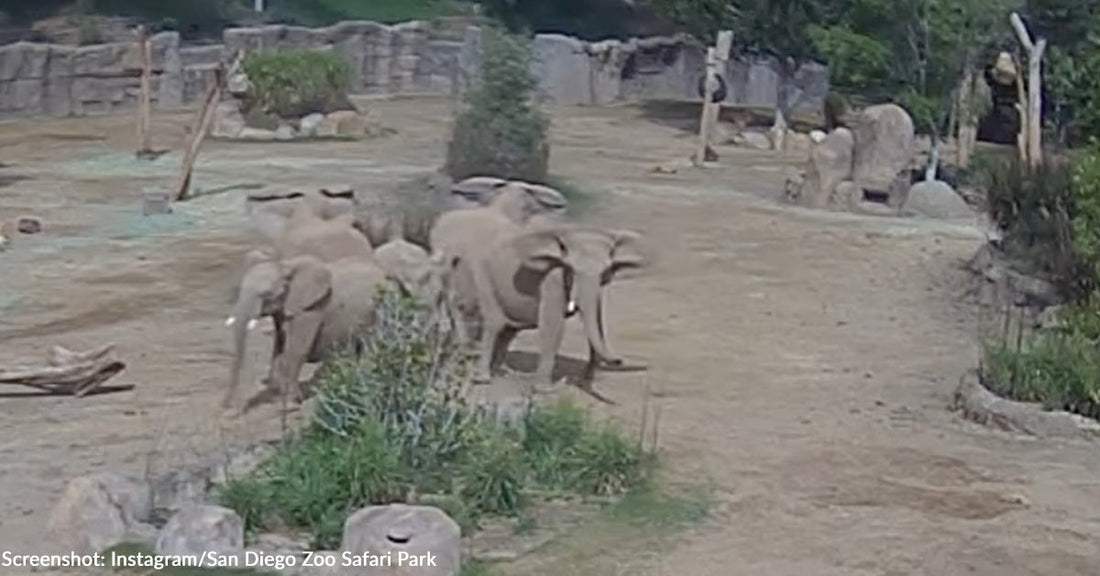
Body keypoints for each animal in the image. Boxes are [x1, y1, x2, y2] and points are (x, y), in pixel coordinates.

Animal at [223, 252, 394, 411]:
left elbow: (297, 349)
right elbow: (279, 346)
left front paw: (291, 403)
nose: (228, 406)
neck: (285, 265)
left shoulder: (311, 310)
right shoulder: (283, 312)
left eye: (266, 294)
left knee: (372, 343)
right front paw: (276, 394)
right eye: (239, 290)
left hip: (379, 308)